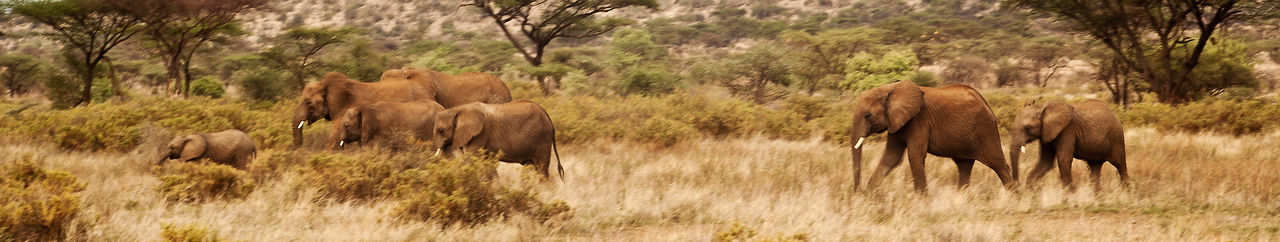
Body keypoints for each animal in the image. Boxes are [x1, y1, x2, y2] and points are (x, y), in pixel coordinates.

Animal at [432, 98, 563, 179]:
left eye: (441, 130)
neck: (458, 109)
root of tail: (546, 114)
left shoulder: (482, 133)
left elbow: (470, 158)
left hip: (542, 138)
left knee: (542, 169)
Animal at [849, 81, 1018, 193]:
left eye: (867, 115)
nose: (857, 192)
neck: (888, 88)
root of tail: (985, 101)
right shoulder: (896, 122)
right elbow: (892, 157)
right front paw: (871, 194)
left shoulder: (919, 119)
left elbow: (915, 154)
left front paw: (921, 200)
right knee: (964, 166)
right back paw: (961, 198)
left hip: (986, 129)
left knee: (998, 164)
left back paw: (1013, 197)